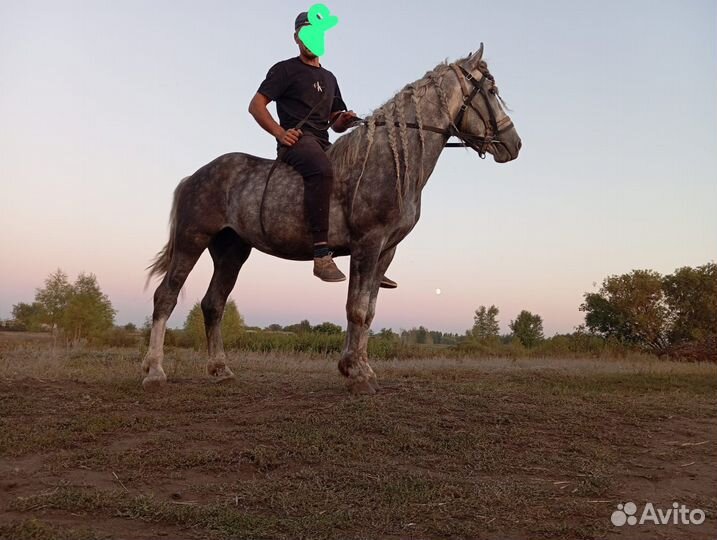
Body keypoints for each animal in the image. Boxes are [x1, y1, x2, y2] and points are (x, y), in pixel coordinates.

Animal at [142, 44, 522, 394]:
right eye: (490, 90)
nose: (514, 144)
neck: (391, 160)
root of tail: (193, 177)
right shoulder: (367, 243)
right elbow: (356, 308)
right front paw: (356, 373)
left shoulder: (385, 251)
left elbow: (368, 310)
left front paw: (360, 367)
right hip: (192, 240)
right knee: (166, 297)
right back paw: (154, 371)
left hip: (231, 251)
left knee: (213, 304)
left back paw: (220, 368)